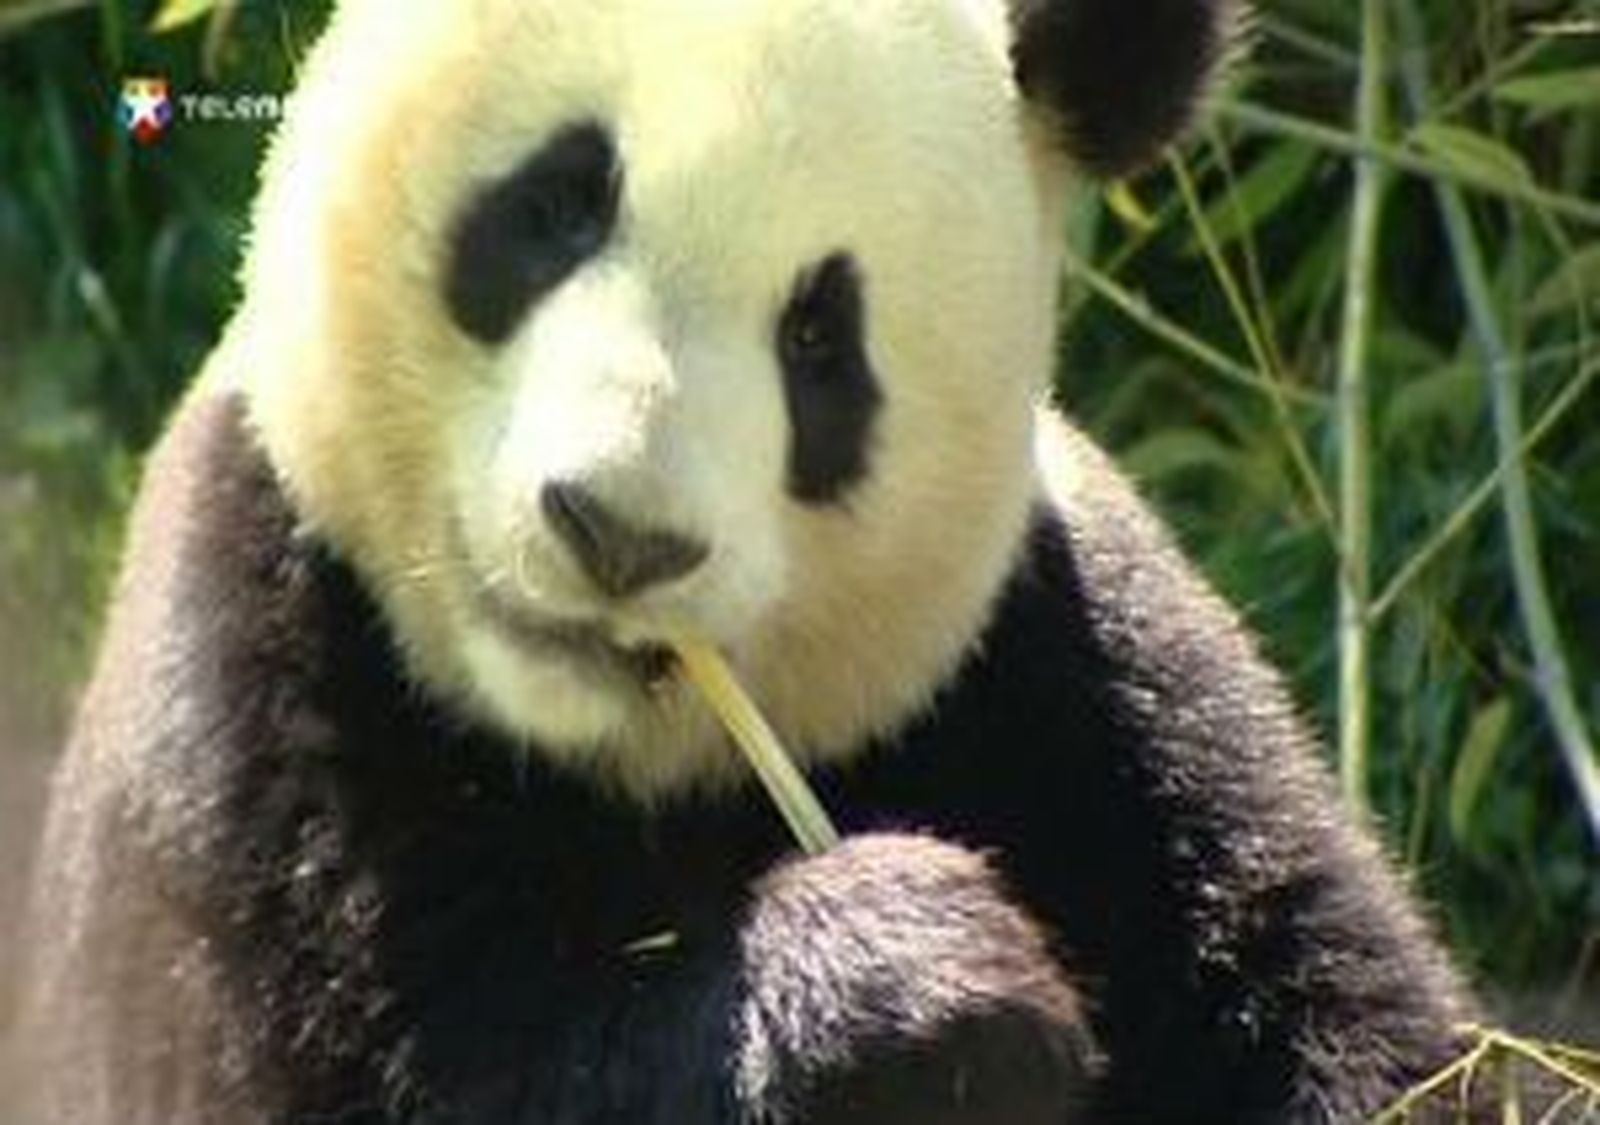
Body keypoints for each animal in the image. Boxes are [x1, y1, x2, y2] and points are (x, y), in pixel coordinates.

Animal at [14, 0, 1479, 1122]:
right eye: (558, 206)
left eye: (820, 340)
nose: (616, 529)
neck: (601, 761)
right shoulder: (260, 680)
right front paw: (922, 997)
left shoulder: (1087, 687)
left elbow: (1350, 1014)